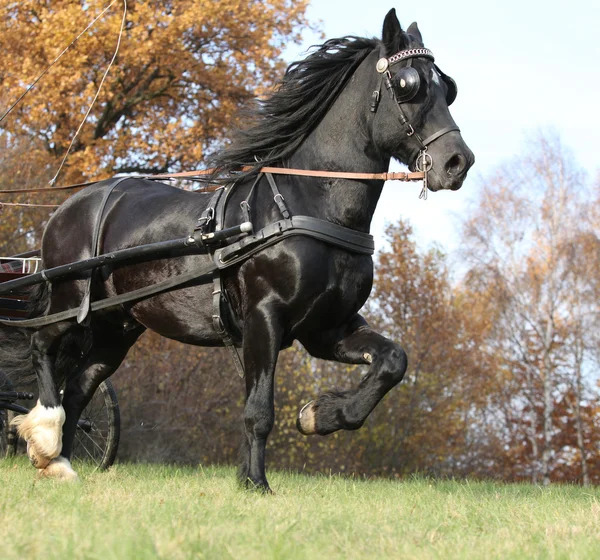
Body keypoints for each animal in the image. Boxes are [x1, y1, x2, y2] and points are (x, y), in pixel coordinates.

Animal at [0, 9, 474, 490]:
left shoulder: (326, 327)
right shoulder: (265, 317)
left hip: (117, 327)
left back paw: (62, 462)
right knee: (41, 345)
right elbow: (259, 410)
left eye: (447, 87)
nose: (459, 162)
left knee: (80, 386)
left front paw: (319, 415)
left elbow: (392, 361)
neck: (308, 203)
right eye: (408, 83)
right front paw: (256, 483)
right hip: (71, 302)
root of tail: (70, 205)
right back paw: (45, 438)